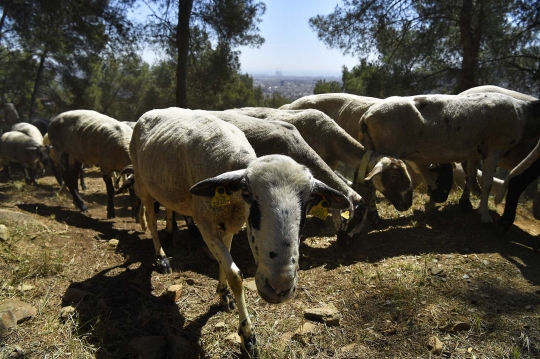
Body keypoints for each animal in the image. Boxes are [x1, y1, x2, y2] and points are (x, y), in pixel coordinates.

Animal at [131, 108, 350, 358]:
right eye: (246, 190)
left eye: (312, 199)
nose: (279, 288)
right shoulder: (205, 224)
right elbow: (236, 275)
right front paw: (248, 338)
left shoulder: (230, 225)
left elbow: (224, 264)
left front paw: (223, 295)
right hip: (143, 182)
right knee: (150, 219)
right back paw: (162, 258)